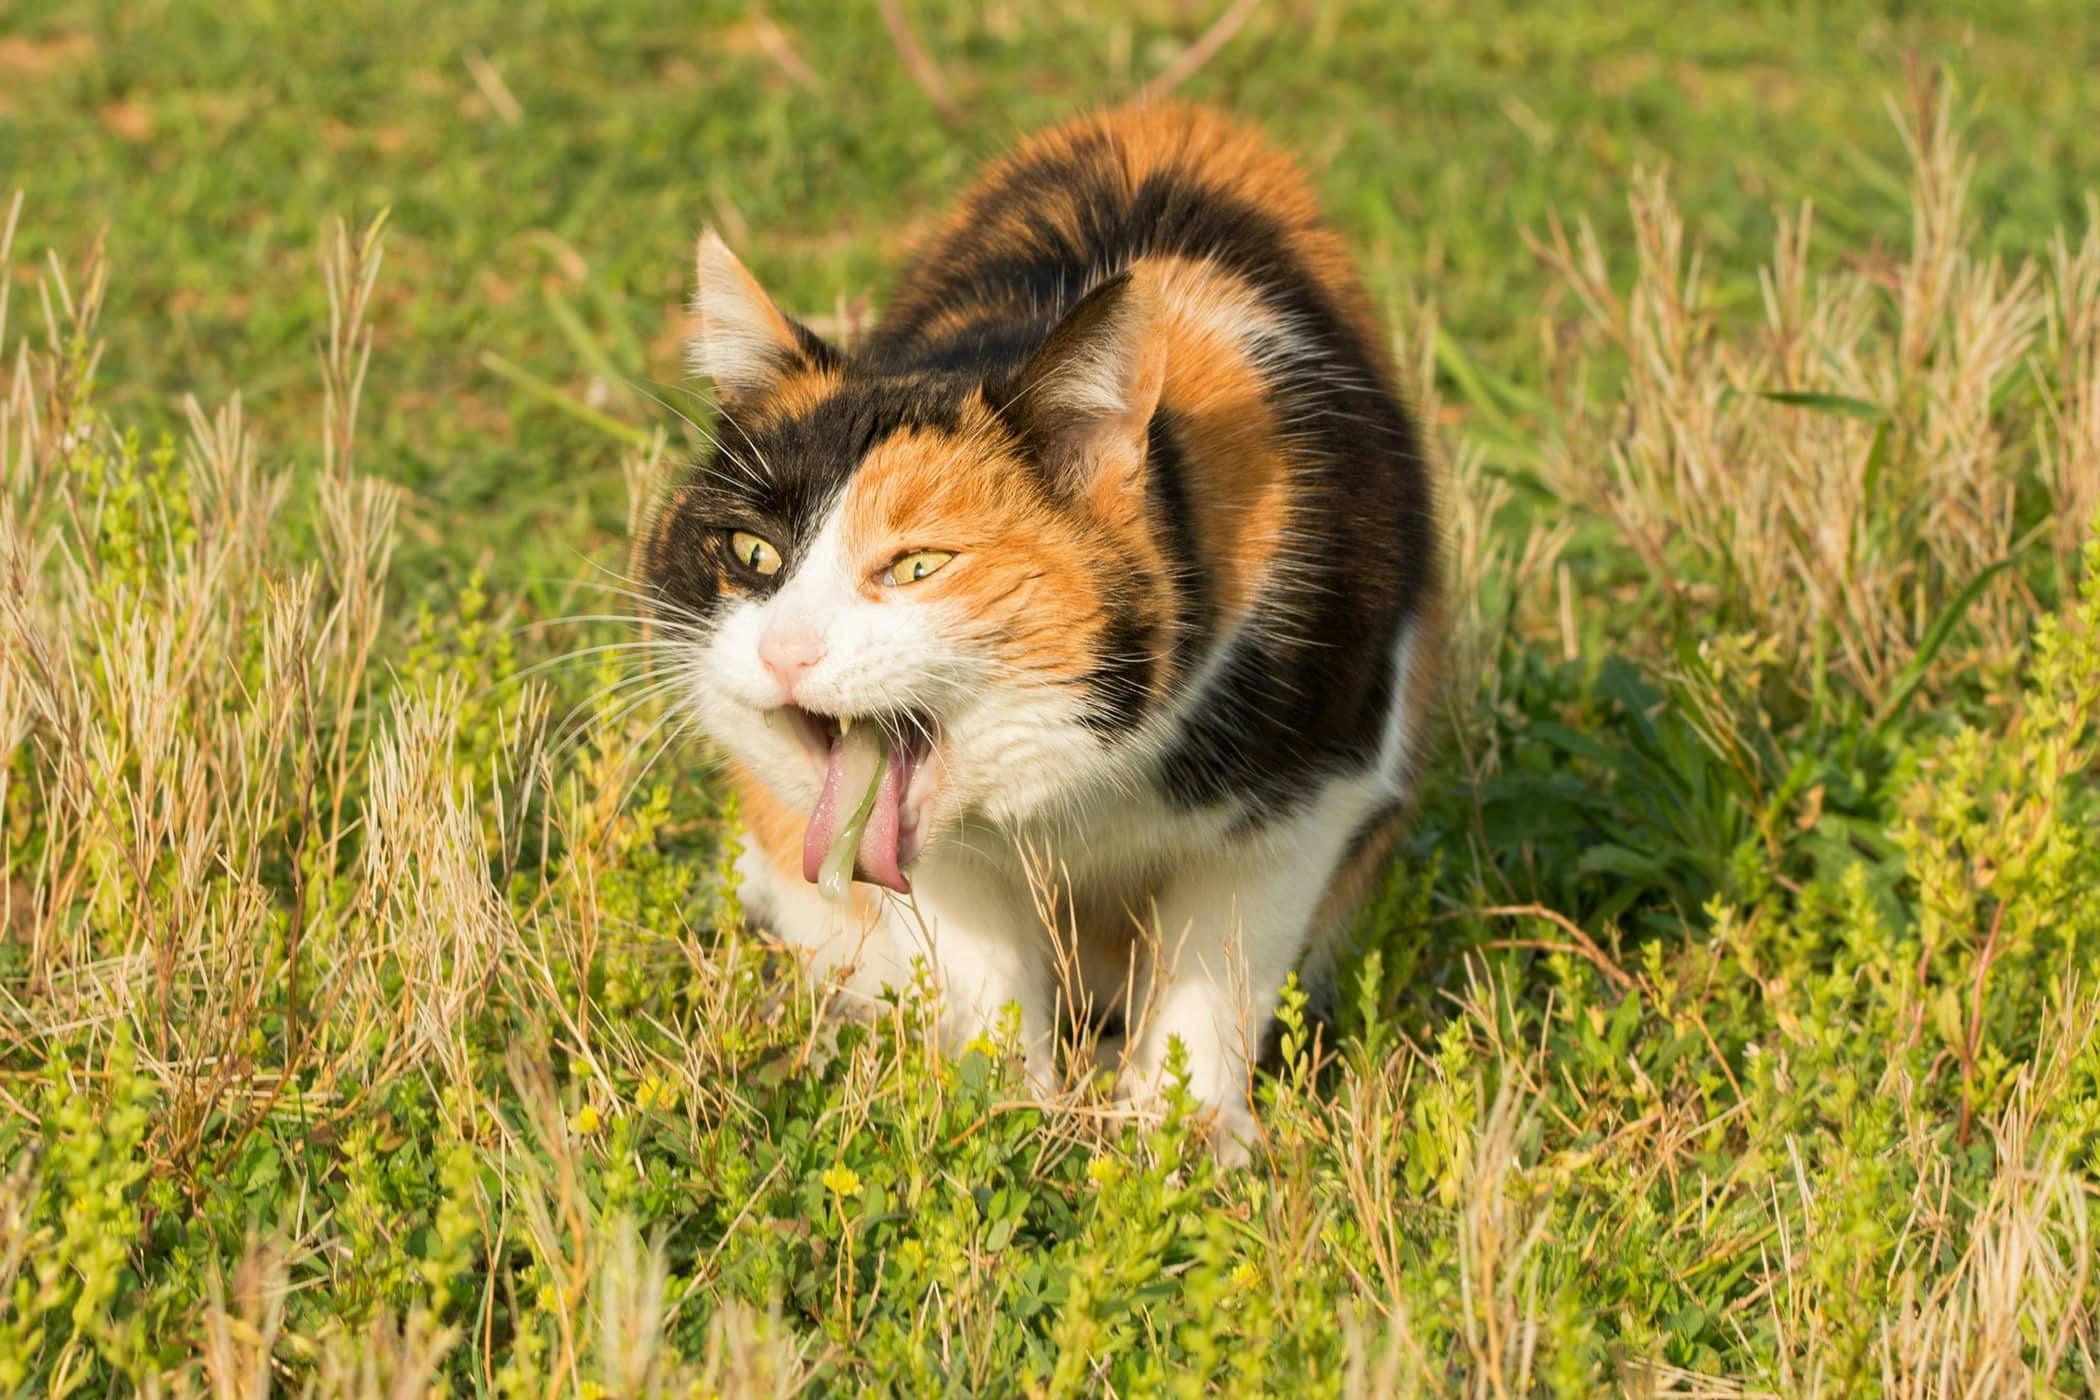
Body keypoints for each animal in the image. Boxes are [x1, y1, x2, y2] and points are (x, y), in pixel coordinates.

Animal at [642, 101, 1444, 1158]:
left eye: (919, 565)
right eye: (752, 553)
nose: (785, 650)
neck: (1086, 783)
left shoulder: (1311, 792)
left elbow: (1221, 966)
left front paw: (1189, 1141)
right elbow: (988, 977)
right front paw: (1002, 1115)